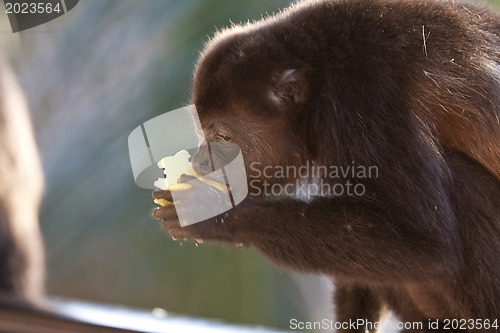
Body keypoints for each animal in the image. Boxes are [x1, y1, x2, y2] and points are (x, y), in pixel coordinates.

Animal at [153, 0, 500, 330]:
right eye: (202, 134)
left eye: (223, 137)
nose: (200, 161)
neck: (316, 75)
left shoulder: (365, 104)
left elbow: (428, 247)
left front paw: (211, 209)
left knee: (461, 180)